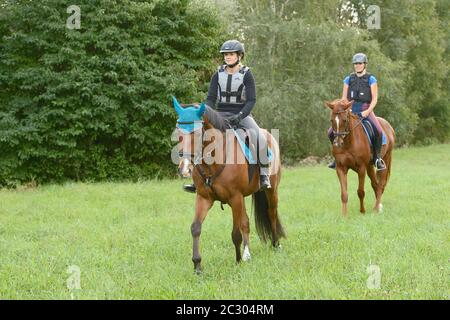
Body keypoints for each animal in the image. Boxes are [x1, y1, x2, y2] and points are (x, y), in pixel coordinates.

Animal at [172, 97, 284, 272]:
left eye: (197, 132)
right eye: (178, 131)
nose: (184, 168)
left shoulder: (235, 197)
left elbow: (235, 233)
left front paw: (237, 262)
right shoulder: (204, 198)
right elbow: (195, 228)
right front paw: (197, 265)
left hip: (271, 191)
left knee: (271, 213)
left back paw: (275, 244)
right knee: (246, 222)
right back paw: (247, 254)